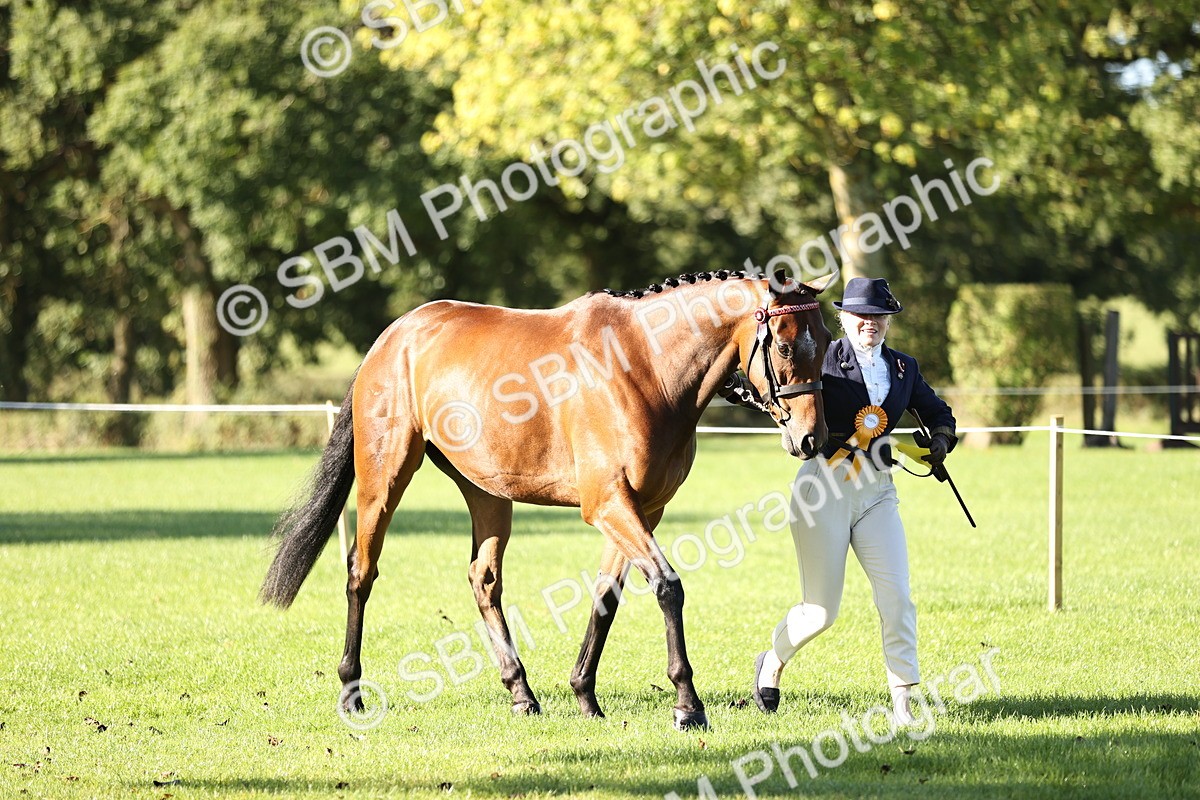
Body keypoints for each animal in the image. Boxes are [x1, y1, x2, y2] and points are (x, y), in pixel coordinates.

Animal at [259, 268, 836, 730]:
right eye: (786, 346)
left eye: (828, 340)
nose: (811, 438)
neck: (644, 367)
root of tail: (393, 336)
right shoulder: (609, 505)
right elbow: (667, 587)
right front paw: (687, 705)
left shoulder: (642, 510)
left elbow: (606, 597)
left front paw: (585, 696)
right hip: (385, 476)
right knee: (362, 570)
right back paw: (351, 691)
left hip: (487, 492)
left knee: (484, 580)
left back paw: (522, 693)